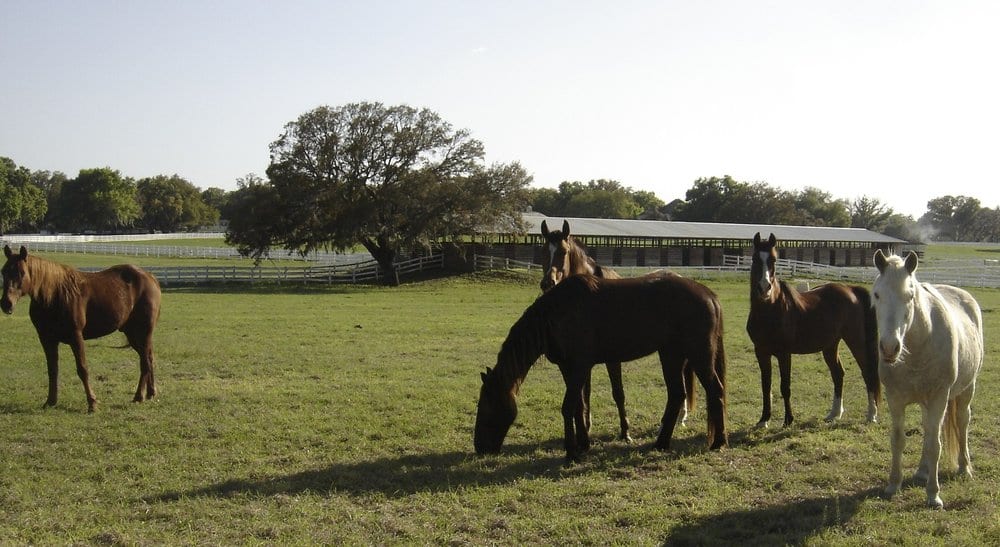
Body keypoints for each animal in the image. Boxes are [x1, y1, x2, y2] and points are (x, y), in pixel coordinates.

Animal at [1, 245, 162, 412]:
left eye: (22, 273)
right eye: (3, 271)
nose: (6, 303)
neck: (55, 295)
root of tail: (150, 278)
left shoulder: (76, 337)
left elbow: (82, 369)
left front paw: (92, 403)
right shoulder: (47, 339)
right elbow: (52, 370)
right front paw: (50, 401)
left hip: (143, 332)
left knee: (145, 362)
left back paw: (139, 396)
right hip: (133, 334)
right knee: (149, 358)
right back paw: (150, 393)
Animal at [474, 271, 728, 462]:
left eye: (486, 406)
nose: (479, 447)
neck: (556, 315)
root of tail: (709, 294)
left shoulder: (579, 368)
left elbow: (568, 407)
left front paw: (571, 452)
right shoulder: (569, 369)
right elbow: (578, 406)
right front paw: (583, 444)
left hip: (699, 356)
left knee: (715, 390)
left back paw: (719, 442)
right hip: (671, 355)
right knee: (676, 395)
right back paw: (661, 443)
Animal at [541, 219, 695, 441]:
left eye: (563, 251)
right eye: (544, 250)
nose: (547, 283)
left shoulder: (613, 359)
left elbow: (618, 392)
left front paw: (625, 431)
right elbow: (585, 394)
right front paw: (587, 427)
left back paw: (676, 420)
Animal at [746, 232, 880, 427]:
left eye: (774, 259)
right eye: (755, 258)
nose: (764, 288)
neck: (770, 310)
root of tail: (850, 290)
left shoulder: (784, 354)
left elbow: (785, 386)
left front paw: (788, 420)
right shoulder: (761, 352)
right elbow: (766, 386)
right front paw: (763, 420)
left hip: (855, 340)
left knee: (867, 372)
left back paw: (871, 415)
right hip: (831, 345)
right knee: (838, 374)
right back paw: (834, 414)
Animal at [872, 250, 984, 509]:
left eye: (910, 295)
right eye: (877, 294)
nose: (889, 348)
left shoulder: (938, 398)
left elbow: (935, 446)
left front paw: (933, 495)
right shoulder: (895, 399)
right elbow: (898, 440)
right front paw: (893, 485)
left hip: (966, 391)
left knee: (962, 422)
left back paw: (964, 467)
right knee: (928, 428)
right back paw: (923, 471)